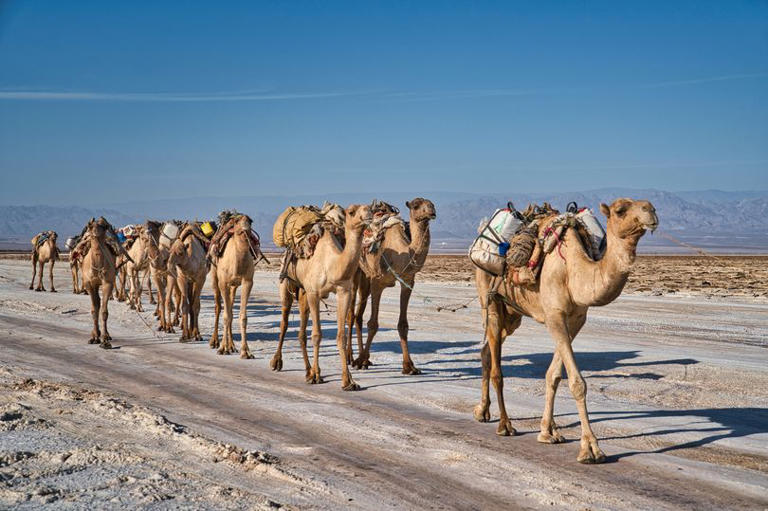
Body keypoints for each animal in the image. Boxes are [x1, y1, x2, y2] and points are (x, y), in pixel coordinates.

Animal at [79, 218, 119, 349]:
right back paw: (94, 334)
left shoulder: (108, 283)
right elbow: (94, 309)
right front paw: (95, 337)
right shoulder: (89, 284)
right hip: (94, 285)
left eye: (103, 226)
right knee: (96, 303)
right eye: (90, 226)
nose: (95, 232)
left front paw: (105, 340)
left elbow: (104, 311)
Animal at [210, 214, 258, 358]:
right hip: (215, 278)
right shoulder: (223, 283)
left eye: (250, 221)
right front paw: (222, 348)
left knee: (230, 307)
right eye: (236, 221)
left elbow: (242, 316)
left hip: (234, 286)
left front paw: (246, 351)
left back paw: (231, 346)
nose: (245, 228)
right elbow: (226, 316)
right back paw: (215, 342)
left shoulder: (248, 281)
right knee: (219, 308)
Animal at [270, 204, 373, 391]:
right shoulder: (314, 293)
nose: (368, 216)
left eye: (369, 208)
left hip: (303, 293)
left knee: (301, 332)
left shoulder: (344, 292)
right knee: (284, 323)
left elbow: (341, 336)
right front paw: (317, 375)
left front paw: (348, 381)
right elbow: (317, 335)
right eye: (351, 212)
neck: (331, 265)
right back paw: (277, 362)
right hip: (287, 284)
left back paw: (307, 370)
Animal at [351, 198, 436, 374]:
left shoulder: (408, 282)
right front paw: (361, 361)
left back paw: (363, 358)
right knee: (350, 314)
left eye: (432, 204)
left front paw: (409, 366)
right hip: (355, 273)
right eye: (416, 206)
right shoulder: (377, 283)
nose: (432, 212)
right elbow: (373, 324)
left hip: (365, 277)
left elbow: (403, 325)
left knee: (358, 315)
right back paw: (353, 358)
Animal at [473, 198, 658, 464]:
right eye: (620, 210)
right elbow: (577, 382)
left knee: (487, 351)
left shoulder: (576, 320)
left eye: (648, 205)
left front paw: (547, 431)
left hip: (513, 314)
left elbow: (554, 375)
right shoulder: (554, 315)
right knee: (497, 367)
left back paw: (482, 410)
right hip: (489, 297)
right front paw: (590, 448)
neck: (573, 270)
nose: (651, 211)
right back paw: (505, 425)